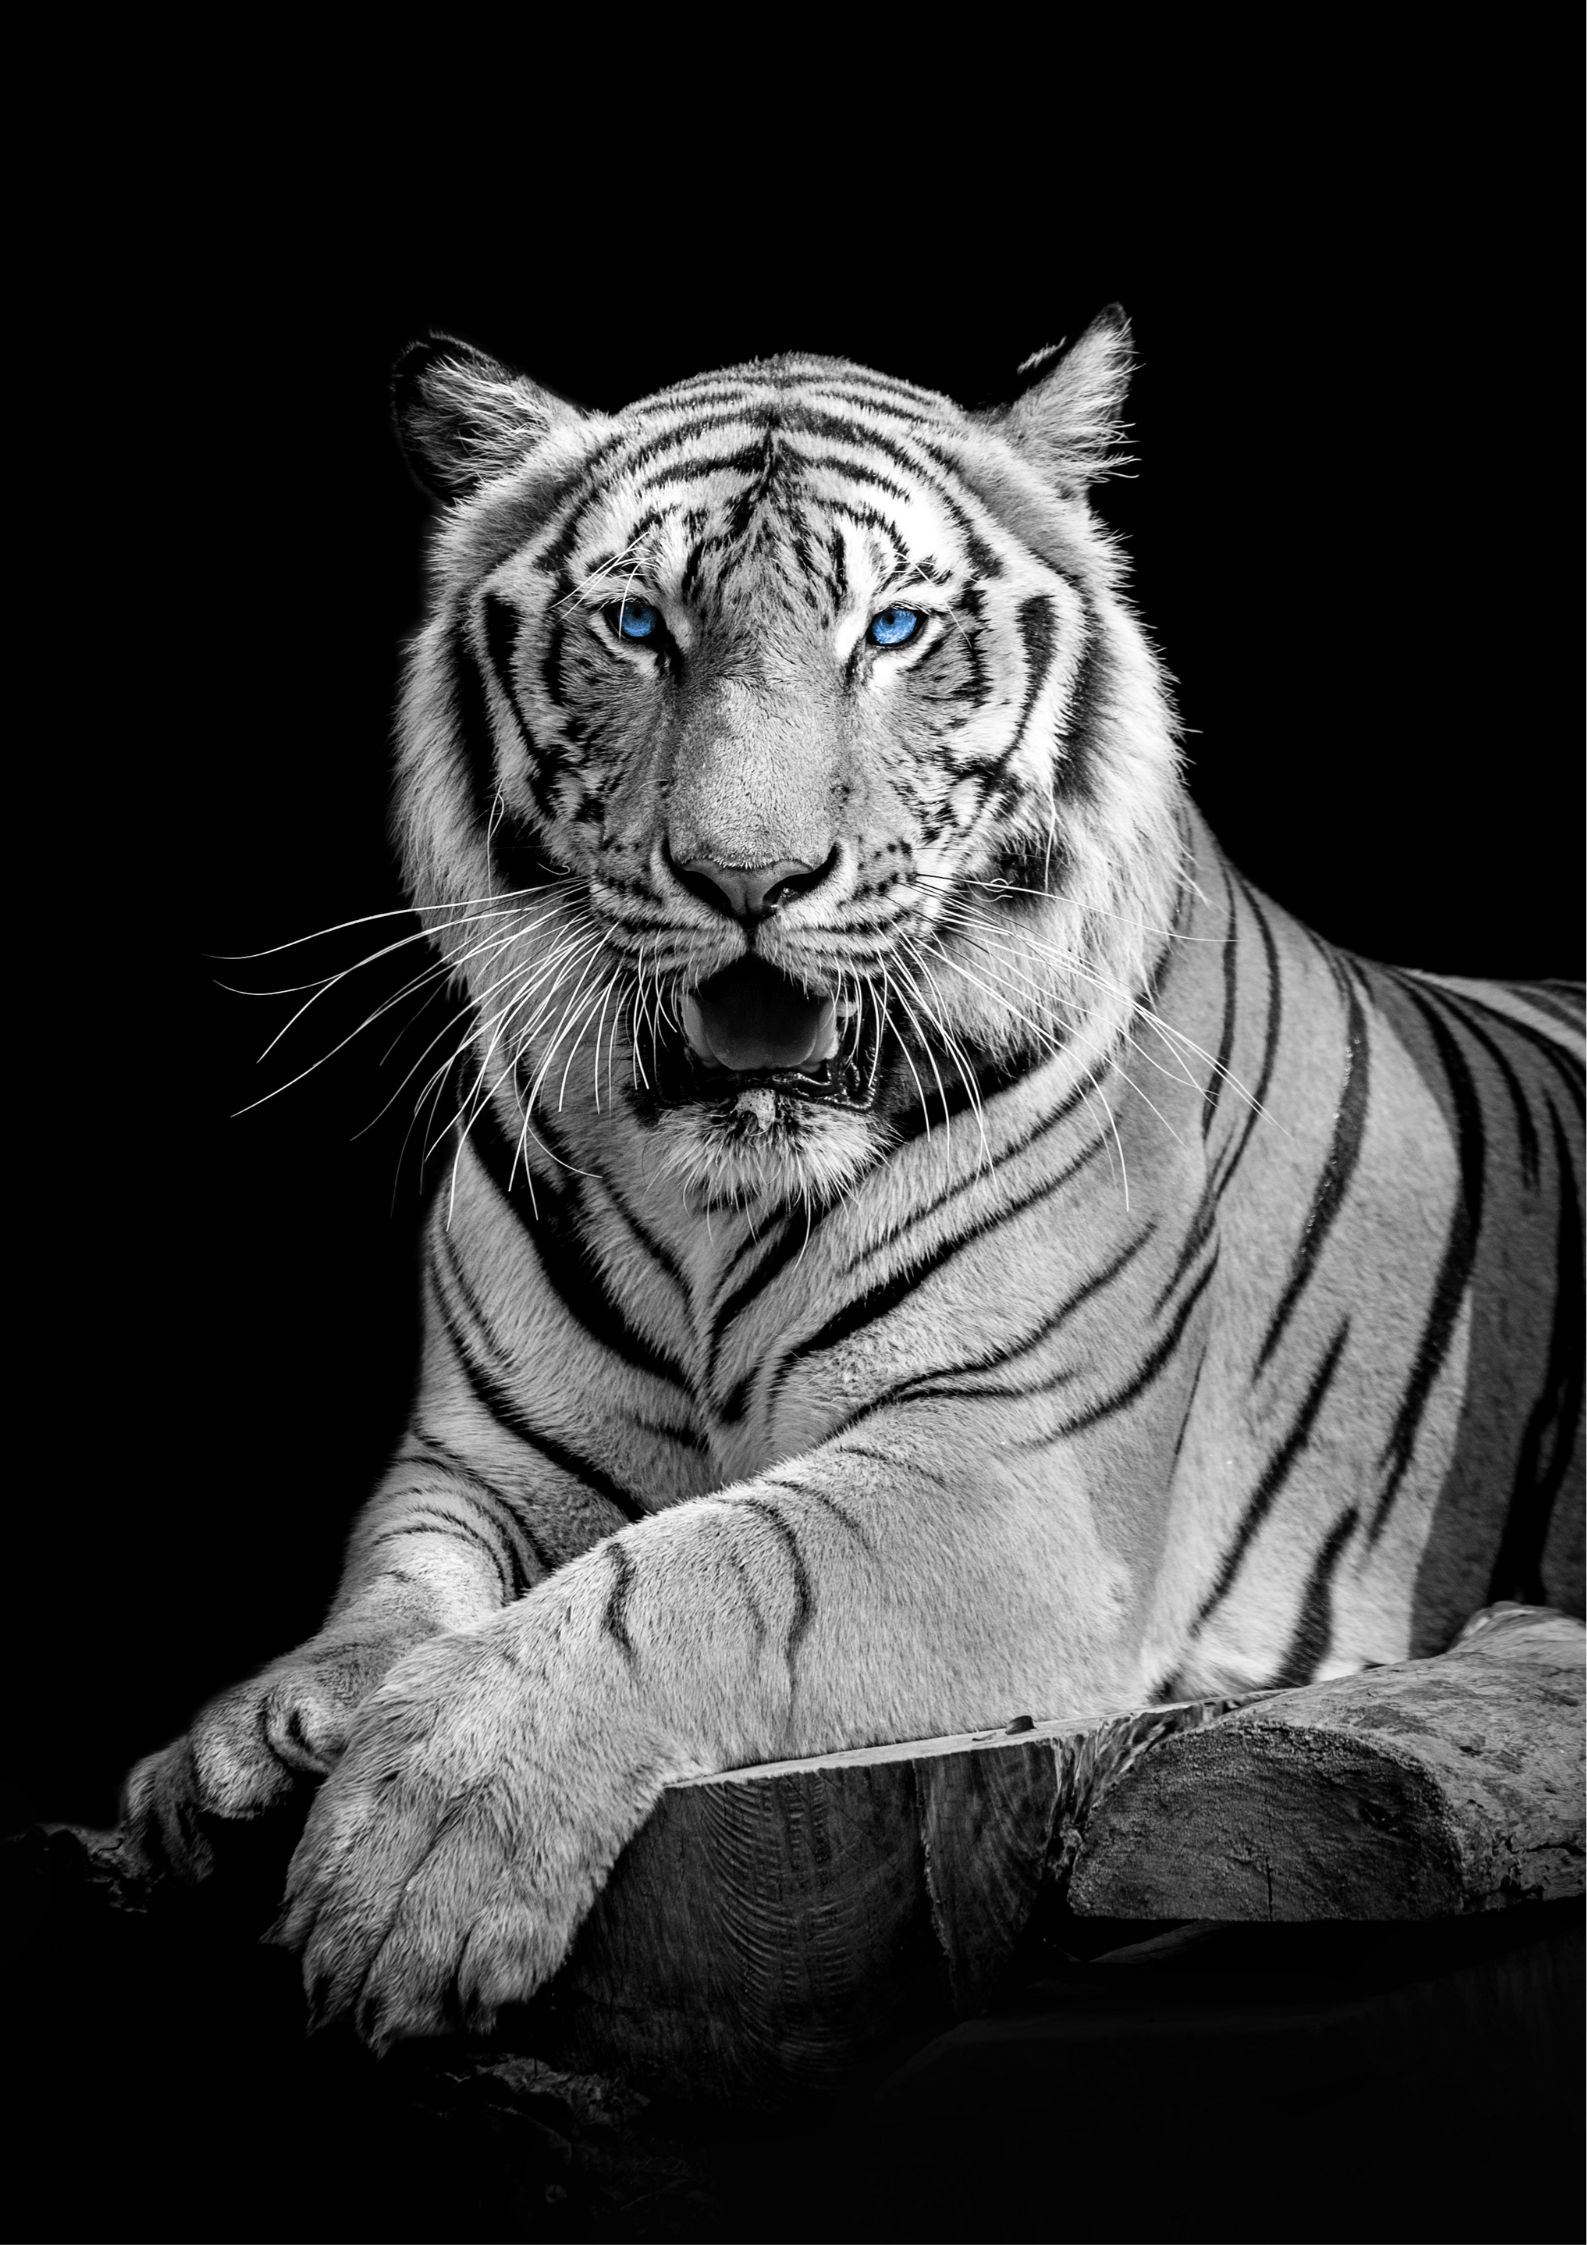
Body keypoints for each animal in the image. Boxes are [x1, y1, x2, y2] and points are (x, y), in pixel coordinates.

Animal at [124, 309, 1585, 2052]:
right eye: (637, 624)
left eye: (889, 630)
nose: (746, 880)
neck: (709, 1200)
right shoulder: (481, 1459)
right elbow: (394, 1586)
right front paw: (249, 1740)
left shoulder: (1001, 1473)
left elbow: (701, 1574)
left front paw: (421, 1840)